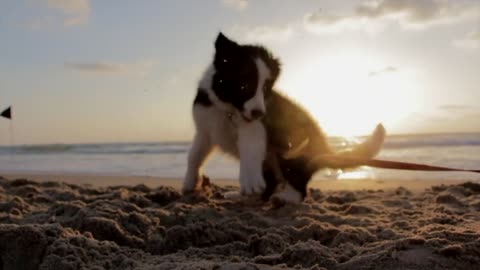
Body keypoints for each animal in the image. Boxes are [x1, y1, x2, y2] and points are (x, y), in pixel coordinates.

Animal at [181, 32, 386, 204]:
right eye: (244, 86)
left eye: (265, 88)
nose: (259, 113)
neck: (227, 108)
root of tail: (322, 146)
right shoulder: (204, 131)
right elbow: (194, 155)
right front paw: (189, 181)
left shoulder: (255, 128)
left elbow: (250, 150)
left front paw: (250, 181)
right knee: (272, 182)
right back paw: (244, 197)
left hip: (291, 148)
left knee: (300, 188)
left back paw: (284, 198)